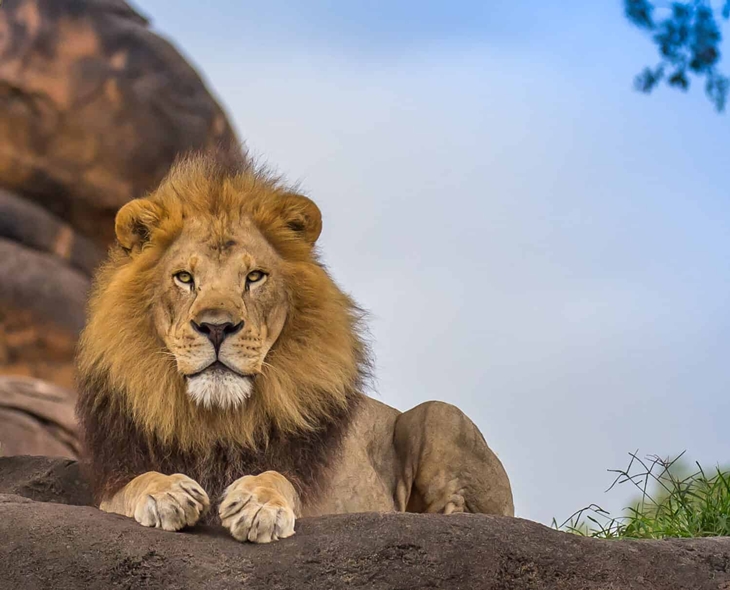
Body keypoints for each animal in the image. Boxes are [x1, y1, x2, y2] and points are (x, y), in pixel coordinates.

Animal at [75, 150, 514, 544]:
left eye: (254, 277)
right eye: (184, 277)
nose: (217, 327)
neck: (217, 420)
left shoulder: (318, 493)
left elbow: (277, 477)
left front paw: (257, 505)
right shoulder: (112, 480)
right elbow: (136, 483)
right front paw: (167, 492)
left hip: (440, 416)